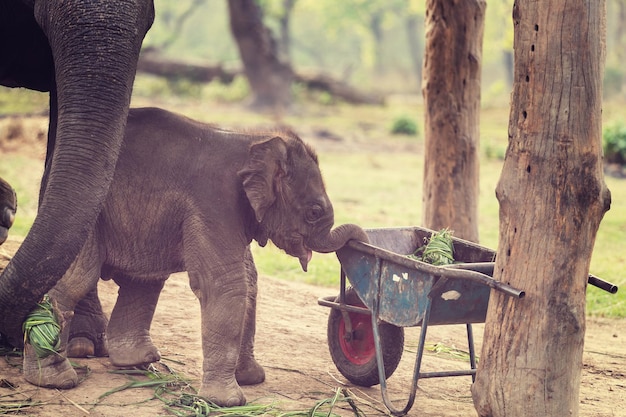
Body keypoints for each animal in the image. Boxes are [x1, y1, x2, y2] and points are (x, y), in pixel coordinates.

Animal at [26, 107, 368, 406]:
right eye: (314, 212)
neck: (255, 141)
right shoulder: (214, 202)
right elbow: (226, 285)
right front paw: (229, 401)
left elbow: (248, 281)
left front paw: (250, 379)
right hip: (87, 214)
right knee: (76, 278)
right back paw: (55, 381)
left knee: (143, 281)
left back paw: (138, 362)